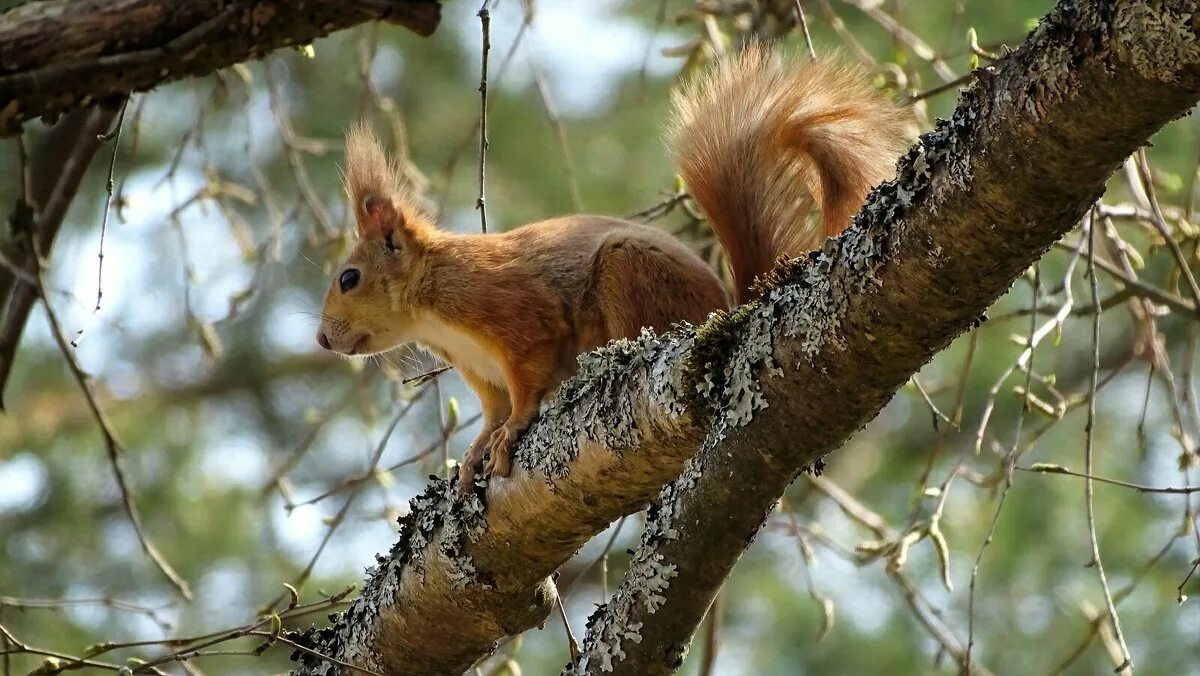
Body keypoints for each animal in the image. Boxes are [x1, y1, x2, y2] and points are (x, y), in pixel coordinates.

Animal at [314, 46, 902, 492]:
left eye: (349, 278)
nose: (321, 340)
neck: (432, 308)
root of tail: (723, 311)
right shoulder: (478, 369)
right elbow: (493, 406)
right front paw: (479, 446)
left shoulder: (510, 312)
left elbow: (526, 382)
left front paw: (511, 432)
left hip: (629, 274)